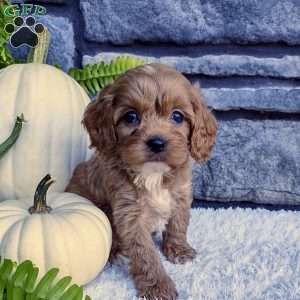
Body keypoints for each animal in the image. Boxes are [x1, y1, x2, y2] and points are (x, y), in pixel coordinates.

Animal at [65, 62, 217, 298]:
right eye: (131, 117)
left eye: (177, 116)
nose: (157, 143)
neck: (153, 175)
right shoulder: (129, 212)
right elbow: (145, 253)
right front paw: (158, 286)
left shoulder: (181, 194)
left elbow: (178, 223)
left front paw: (179, 249)